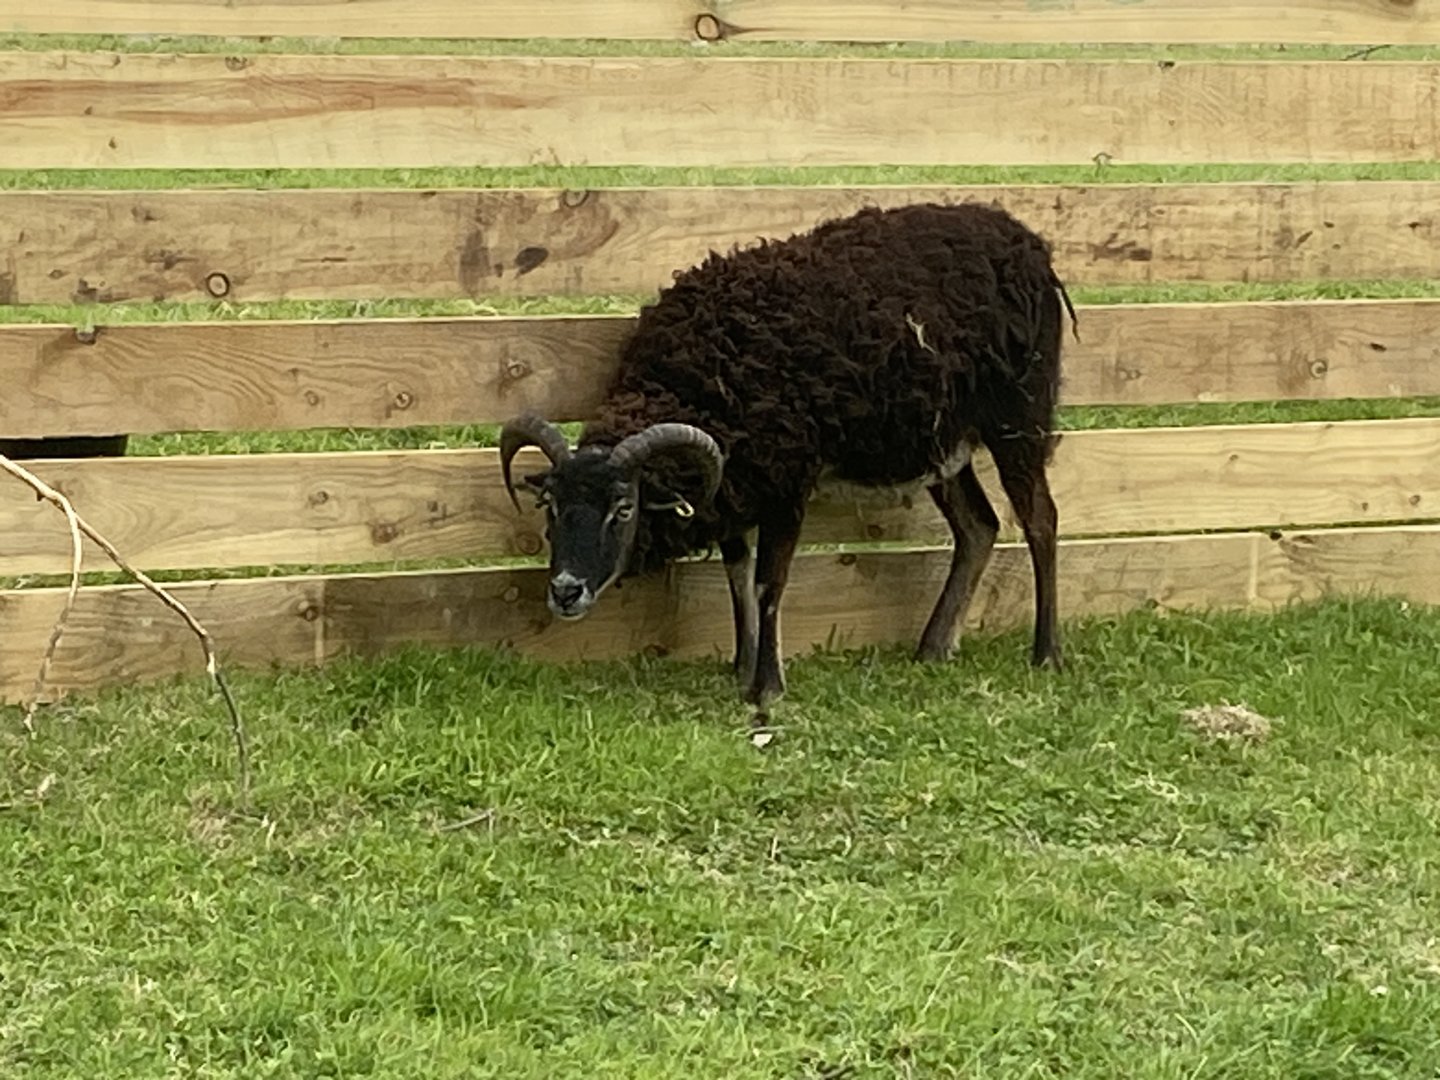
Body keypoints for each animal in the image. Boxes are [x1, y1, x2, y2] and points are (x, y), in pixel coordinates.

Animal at [500, 201, 1076, 707]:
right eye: (551, 506)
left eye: (624, 508)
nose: (565, 591)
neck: (696, 379)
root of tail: (1024, 240)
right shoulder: (732, 480)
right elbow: (737, 574)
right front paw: (742, 665)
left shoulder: (786, 480)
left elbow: (767, 583)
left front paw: (767, 687)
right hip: (942, 443)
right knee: (979, 527)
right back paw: (935, 646)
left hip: (1017, 416)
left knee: (1040, 519)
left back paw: (1046, 654)